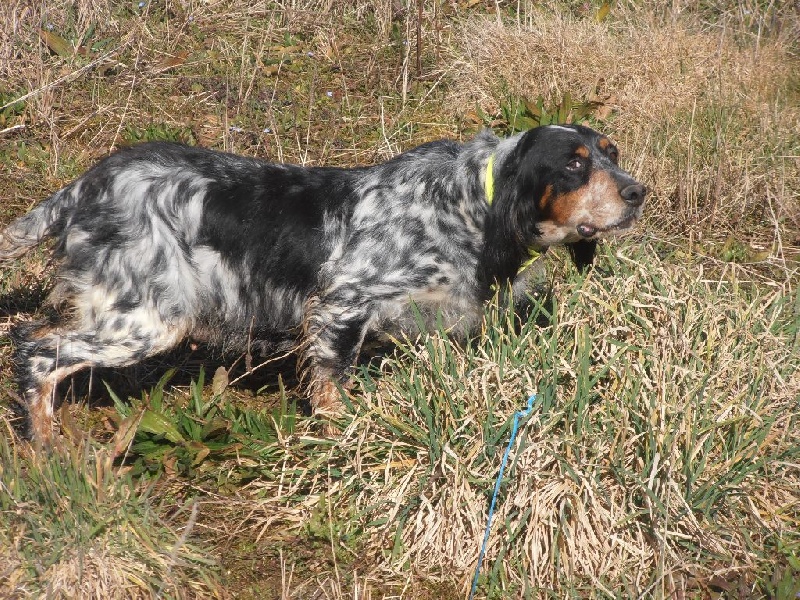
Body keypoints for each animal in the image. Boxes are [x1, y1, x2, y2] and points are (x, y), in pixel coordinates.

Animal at [0, 125, 648, 446]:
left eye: (612, 153)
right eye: (575, 162)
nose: (638, 191)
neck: (469, 206)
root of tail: (87, 185)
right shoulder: (341, 305)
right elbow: (335, 395)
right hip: (145, 319)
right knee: (34, 348)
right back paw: (47, 450)